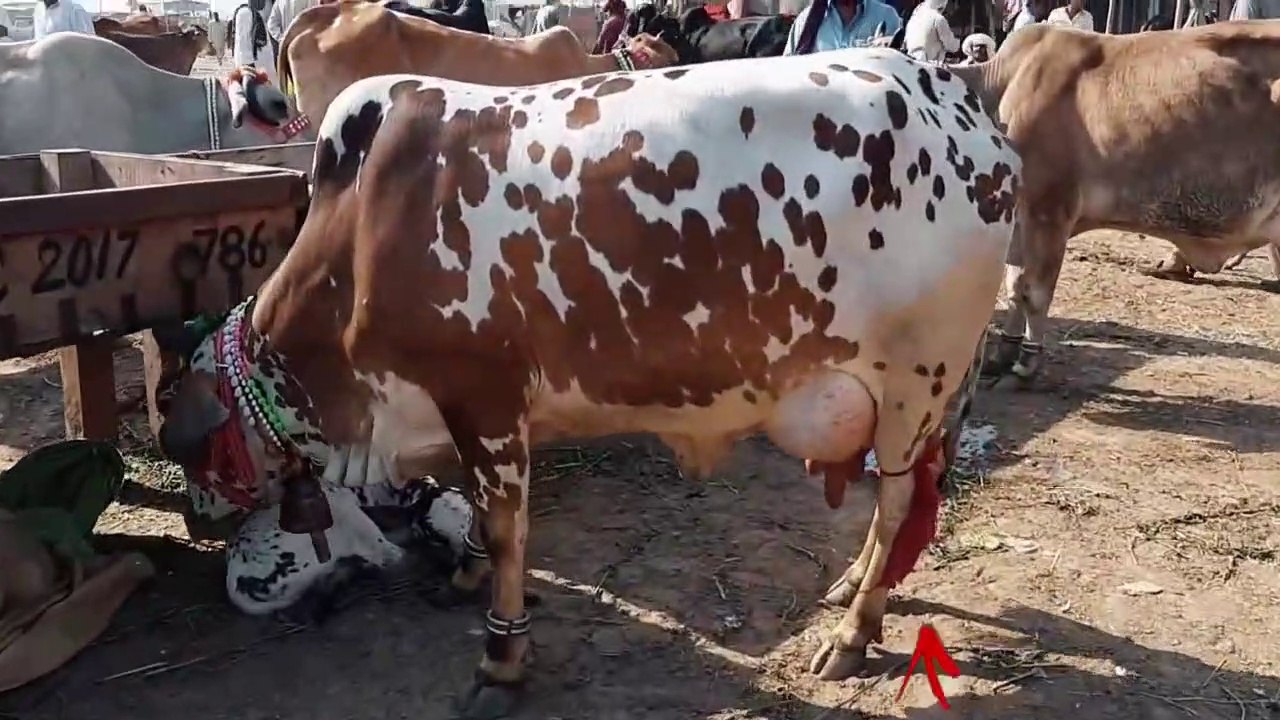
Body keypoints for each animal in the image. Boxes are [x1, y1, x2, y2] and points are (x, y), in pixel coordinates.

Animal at [152, 46, 1019, 717]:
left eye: (204, 457)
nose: (199, 522)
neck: (360, 235)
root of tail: (955, 99)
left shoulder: (486, 399)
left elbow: (508, 531)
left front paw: (501, 657)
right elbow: (479, 519)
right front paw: (466, 571)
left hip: (915, 380)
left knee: (900, 502)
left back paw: (854, 633)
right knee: (898, 504)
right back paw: (849, 587)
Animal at [949, 22, 1280, 387]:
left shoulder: (1049, 212)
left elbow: (1033, 291)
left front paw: (1026, 362)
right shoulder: (1019, 223)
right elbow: (1014, 288)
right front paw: (1003, 354)